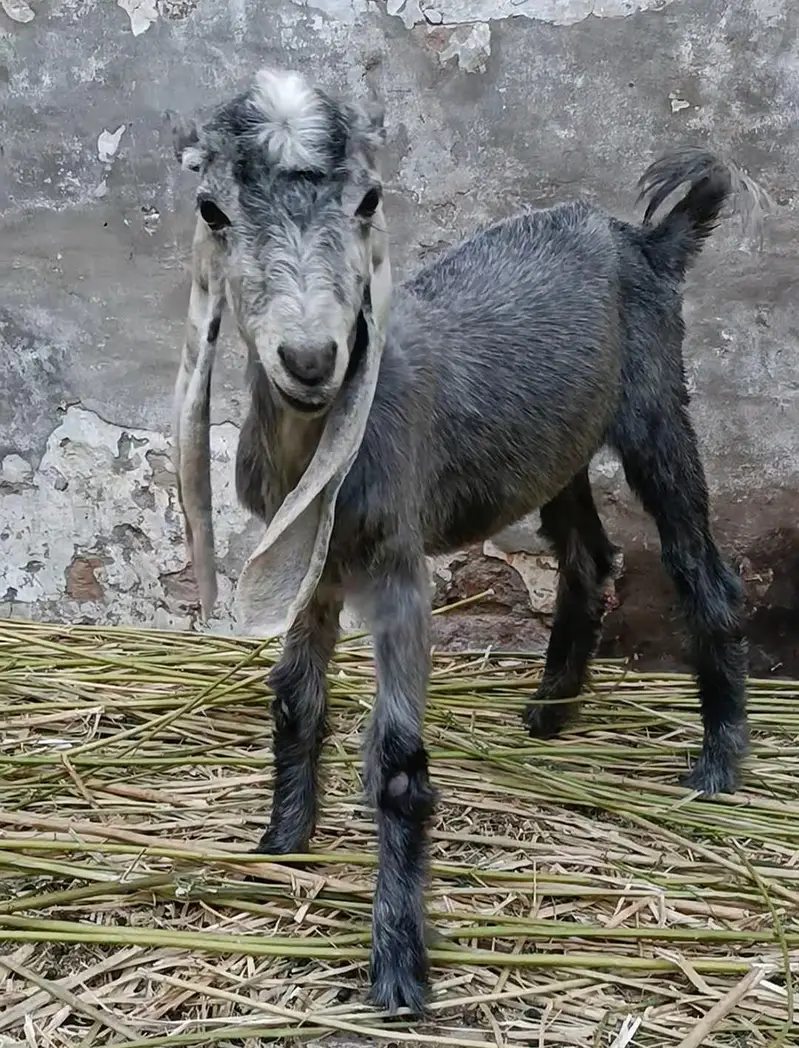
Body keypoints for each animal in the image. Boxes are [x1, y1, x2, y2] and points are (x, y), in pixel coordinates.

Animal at [171, 67, 767, 1015]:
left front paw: (397, 965)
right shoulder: (310, 565)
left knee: (699, 570)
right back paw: (552, 710)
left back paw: (715, 765)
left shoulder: (399, 569)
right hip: (556, 448)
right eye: (213, 210)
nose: (311, 359)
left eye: (368, 200)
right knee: (586, 556)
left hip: (653, 409)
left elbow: (395, 760)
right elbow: (296, 700)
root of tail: (644, 238)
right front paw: (283, 840)